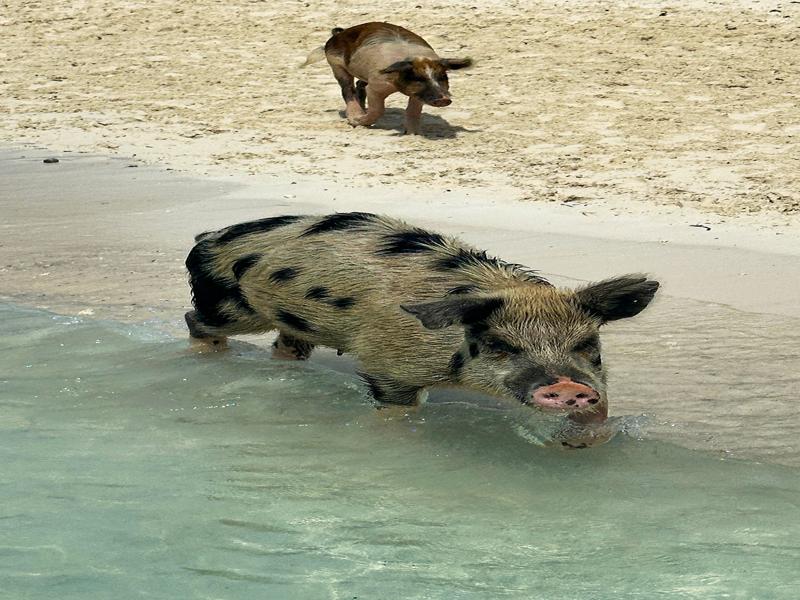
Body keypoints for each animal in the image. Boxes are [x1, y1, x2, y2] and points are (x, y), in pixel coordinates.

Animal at [185, 212, 659, 428]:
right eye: (501, 345)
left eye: (588, 346)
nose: (568, 385)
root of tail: (206, 236)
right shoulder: (387, 365)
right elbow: (399, 410)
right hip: (229, 307)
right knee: (195, 320)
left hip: (293, 322)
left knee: (286, 346)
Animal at [302, 23, 473, 134]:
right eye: (418, 78)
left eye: (442, 77)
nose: (444, 98)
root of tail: (338, 34)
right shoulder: (376, 85)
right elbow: (378, 109)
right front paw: (358, 122)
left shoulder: (418, 94)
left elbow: (413, 111)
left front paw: (413, 134)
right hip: (336, 65)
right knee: (347, 89)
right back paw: (354, 117)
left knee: (359, 84)